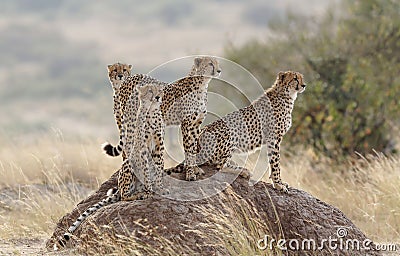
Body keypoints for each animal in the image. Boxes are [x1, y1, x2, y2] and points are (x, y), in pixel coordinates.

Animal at [54, 84, 164, 250]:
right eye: (150, 91)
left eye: (159, 90)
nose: (157, 97)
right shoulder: (141, 148)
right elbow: (146, 170)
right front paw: (150, 190)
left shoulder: (159, 146)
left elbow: (159, 167)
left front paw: (159, 187)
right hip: (128, 167)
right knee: (124, 196)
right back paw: (137, 195)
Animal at [169, 70, 306, 192]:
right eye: (295, 78)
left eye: (301, 77)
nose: (304, 85)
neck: (286, 94)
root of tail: (202, 130)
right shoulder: (274, 138)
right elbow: (275, 163)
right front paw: (278, 184)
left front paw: (280, 182)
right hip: (230, 133)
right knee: (218, 164)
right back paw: (241, 170)